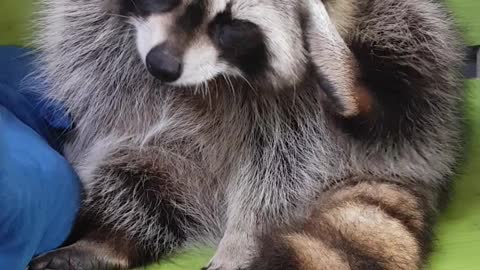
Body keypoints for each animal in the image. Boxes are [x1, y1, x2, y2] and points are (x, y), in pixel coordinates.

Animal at [28, 0, 464, 270]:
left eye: (233, 27)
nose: (163, 65)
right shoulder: (99, 36)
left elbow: (281, 159)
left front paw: (246, 233)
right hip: (180, 165)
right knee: (133, 181)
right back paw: (107, 237)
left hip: (415, 75)